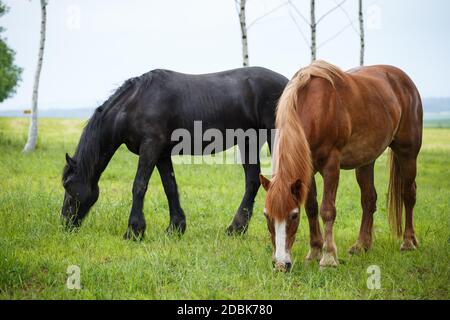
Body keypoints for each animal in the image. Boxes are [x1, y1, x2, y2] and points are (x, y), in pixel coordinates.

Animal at [61, 67, 288, 239]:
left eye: (68, 186)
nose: (64, 223)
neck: (135, 103)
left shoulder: (150, 146)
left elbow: (139, 185)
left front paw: (134, 231)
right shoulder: (162, 153)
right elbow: (169, 187)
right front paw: (175, 228)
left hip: (273, 137)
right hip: (248, 141)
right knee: (252, 181)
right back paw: (236, 229)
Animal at [258, 59, 424, 270]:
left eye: (294, 216)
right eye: (266, 215)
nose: (281, 265)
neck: (316, 109)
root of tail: (404, 80)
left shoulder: (331, 165)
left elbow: (327, 210)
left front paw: (328, 258)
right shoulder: (307, 170)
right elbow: (311, 208)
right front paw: (314, 251)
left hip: (408, 153)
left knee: (408, 194)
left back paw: (408, 242)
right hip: (366, 161)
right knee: (369, 199)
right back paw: (361, 245)